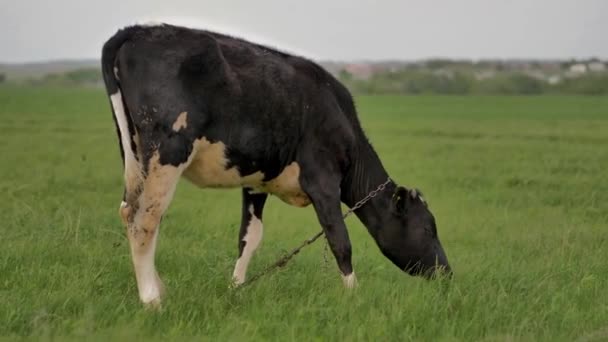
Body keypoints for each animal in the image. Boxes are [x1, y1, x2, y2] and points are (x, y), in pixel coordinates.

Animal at [101, 24, 452, 308]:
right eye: (427, 228)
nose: (447, 273)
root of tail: (136, 31)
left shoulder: (256, 183)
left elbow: (249, 238)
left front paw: (236, 289)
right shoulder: (323, 180)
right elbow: (340, 240)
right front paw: (354, 296)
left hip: (134, 153)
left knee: (131, 210)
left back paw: (158, 288)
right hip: (168, 151)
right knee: (145, 218)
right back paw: (151, 299)